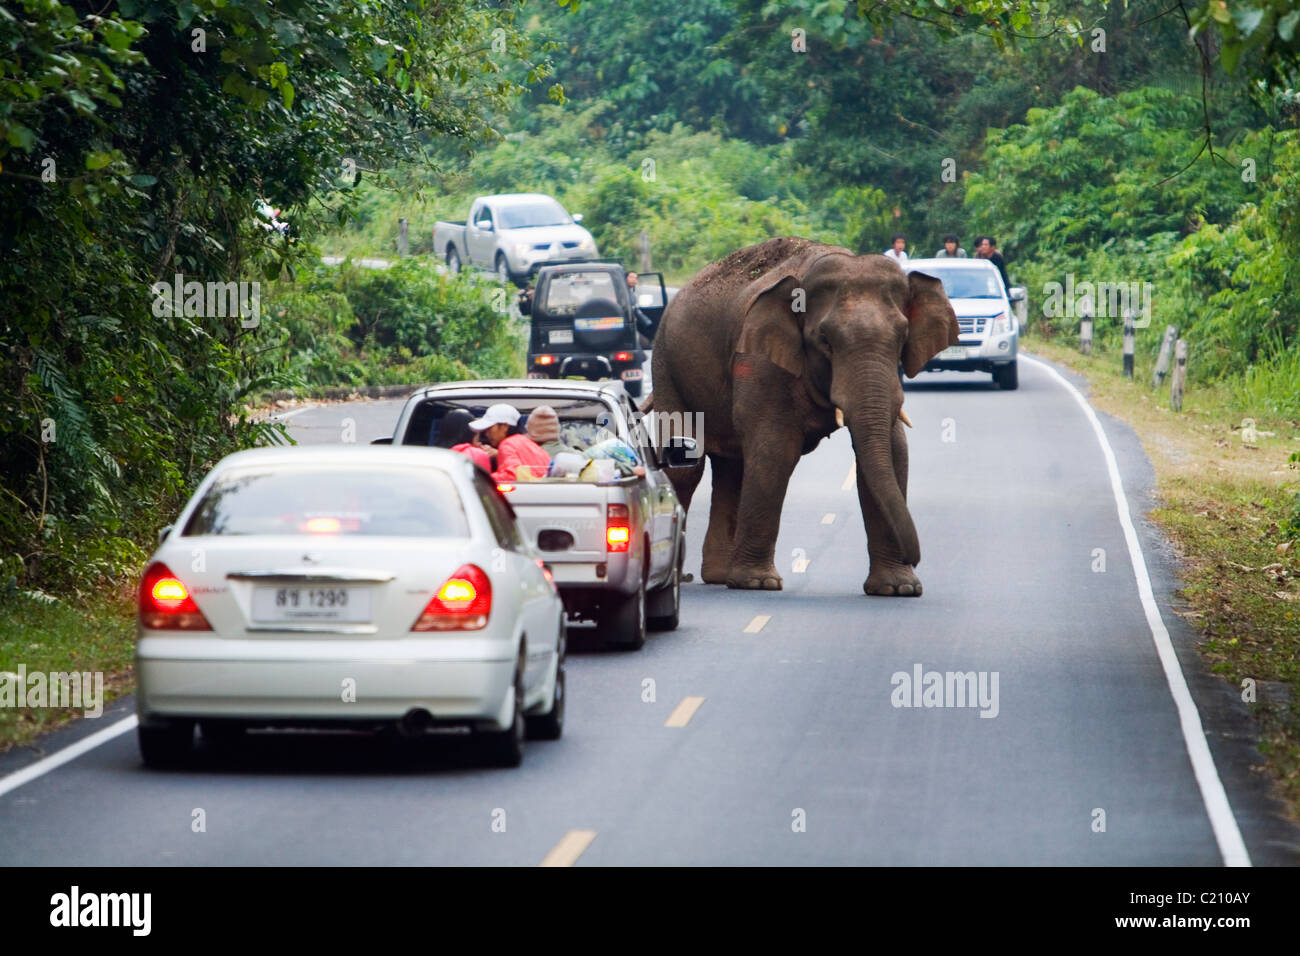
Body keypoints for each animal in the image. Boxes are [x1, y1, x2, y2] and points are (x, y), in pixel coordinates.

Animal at [647, 235, 961, 595]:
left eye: (902, 337)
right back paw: (684, 576)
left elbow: (894, 450)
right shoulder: (759, 357)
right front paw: (759, 583)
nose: (918, 558)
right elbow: (775, 450)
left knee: (732, 466)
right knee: (688, 463)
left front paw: (899, 589)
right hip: (665, 364)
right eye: (825, 340)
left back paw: (718, 576)